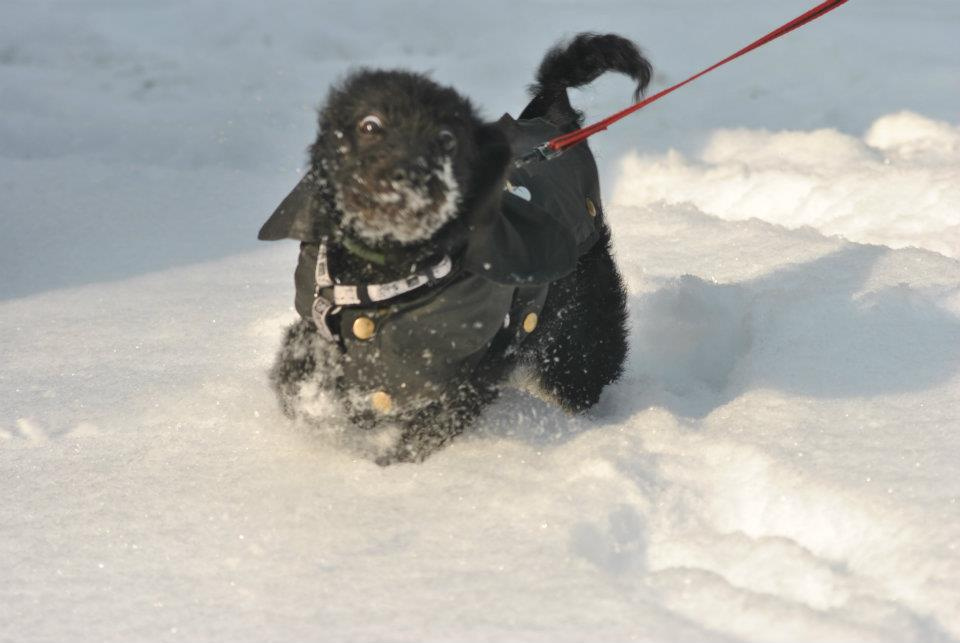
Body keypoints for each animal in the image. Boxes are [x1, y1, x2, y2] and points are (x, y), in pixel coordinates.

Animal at [258, 34, 652, 462]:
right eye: (370, 125)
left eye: (447, 139)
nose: (408, 173)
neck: (389, 276)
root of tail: (552, 118)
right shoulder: (321, 326)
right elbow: (299, 373)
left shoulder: (475, 360)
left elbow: (434, 418)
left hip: (582, 318)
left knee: (587, 366)